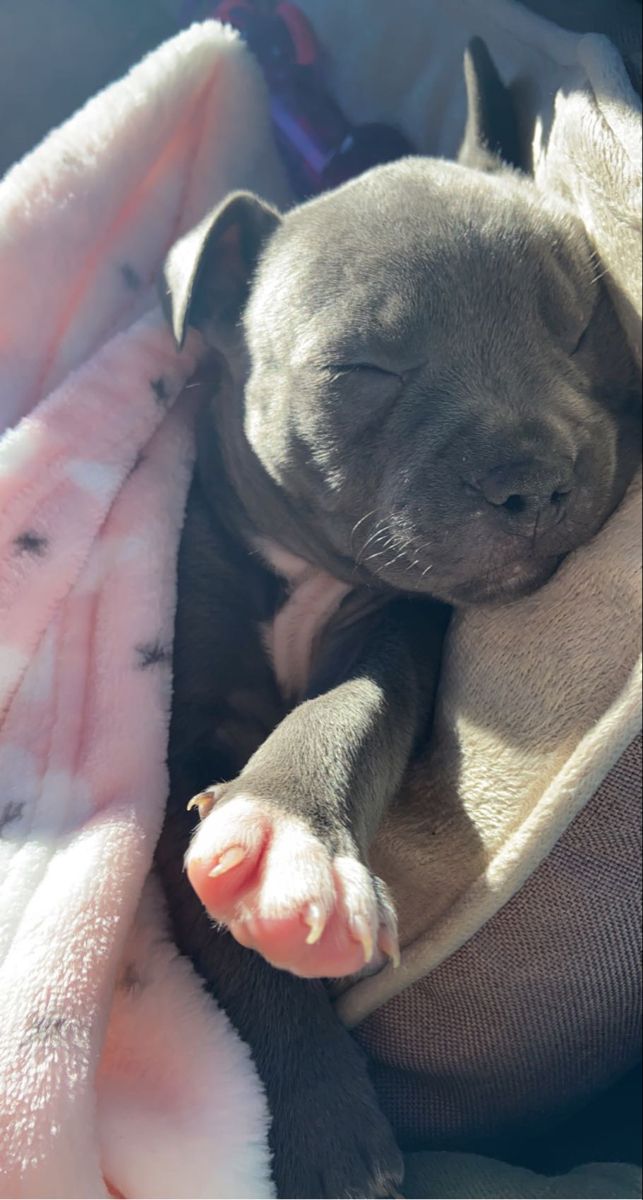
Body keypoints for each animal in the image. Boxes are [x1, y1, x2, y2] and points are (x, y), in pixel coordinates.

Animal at [154, 39, 638, 1200]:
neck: (303, 577)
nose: (534, 479)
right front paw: (322, 1121)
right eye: (360, 371)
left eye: (579, 322)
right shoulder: (177, 736)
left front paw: (288, 831)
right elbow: (226, 940)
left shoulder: (394, 631)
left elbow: (346, 713)